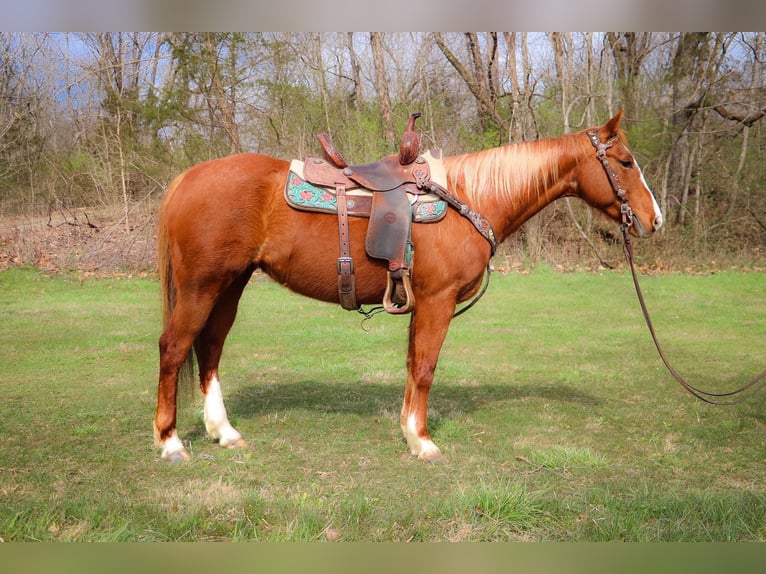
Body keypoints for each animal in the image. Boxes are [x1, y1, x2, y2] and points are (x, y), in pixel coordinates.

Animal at [153, 111, 664, 464]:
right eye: (624, 162)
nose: (654, 219)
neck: (470, 197)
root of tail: (186, 178)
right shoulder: (438, 301)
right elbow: (425, 367)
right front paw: (423, 442)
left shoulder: (420, 303)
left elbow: (413, 363)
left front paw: (408, 431)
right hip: (203, 285)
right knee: (175, 347)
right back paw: (171, 442)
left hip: (229, 285)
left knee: (210, 348)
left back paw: (224, 431)